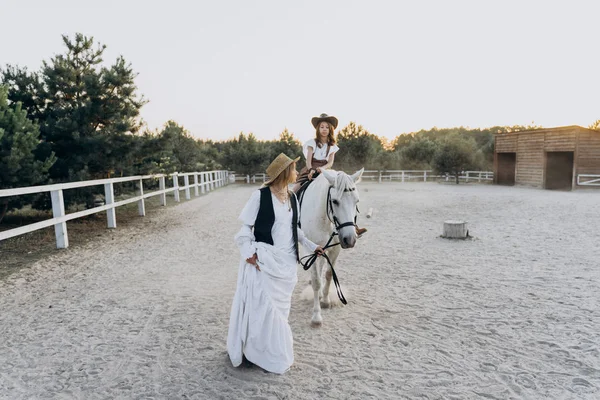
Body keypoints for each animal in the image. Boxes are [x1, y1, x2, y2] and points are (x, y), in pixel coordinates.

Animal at [298, 167, 364, 326]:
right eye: (335, 201)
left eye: (356, 201)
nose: (350, 239)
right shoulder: (311, 249)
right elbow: (316, 281)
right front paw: (316, 316)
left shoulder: (335, 249)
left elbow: (328, 274)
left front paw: (326, 301)